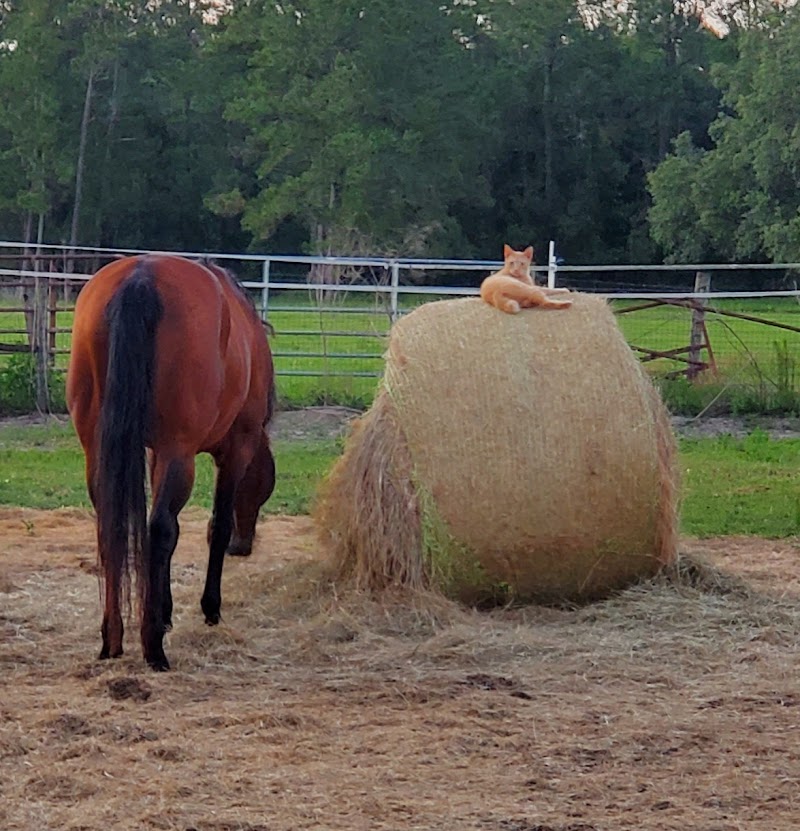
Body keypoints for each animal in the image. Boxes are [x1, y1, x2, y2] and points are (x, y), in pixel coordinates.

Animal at [66, 254, 276, 671]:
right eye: (263, 487)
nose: (244, 546)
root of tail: (141, 277)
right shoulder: (236, 450)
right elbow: (215, 526)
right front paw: (209, 609)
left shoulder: (155, 453)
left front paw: (163, 611)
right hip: (181, 453)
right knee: (161, 528)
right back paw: (153, 649)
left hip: (99, 449)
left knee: (112, 527)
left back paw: (112, 638)